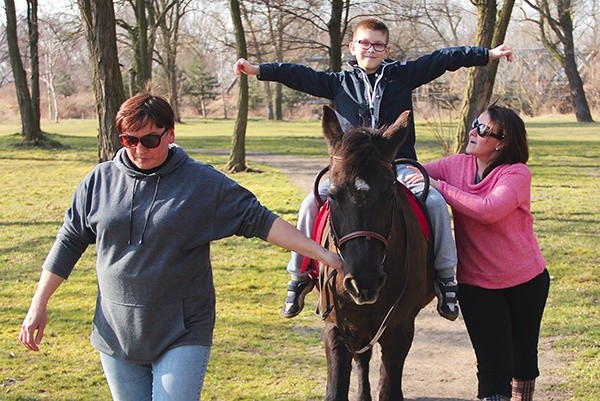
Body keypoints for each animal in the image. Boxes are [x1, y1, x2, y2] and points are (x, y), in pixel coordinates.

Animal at [316, 104, 434, 398]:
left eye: (390, 194)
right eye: (332, 195)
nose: (364, 280)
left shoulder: (400, 331)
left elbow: (389, 390)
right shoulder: (336, 330)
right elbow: (335, 391)